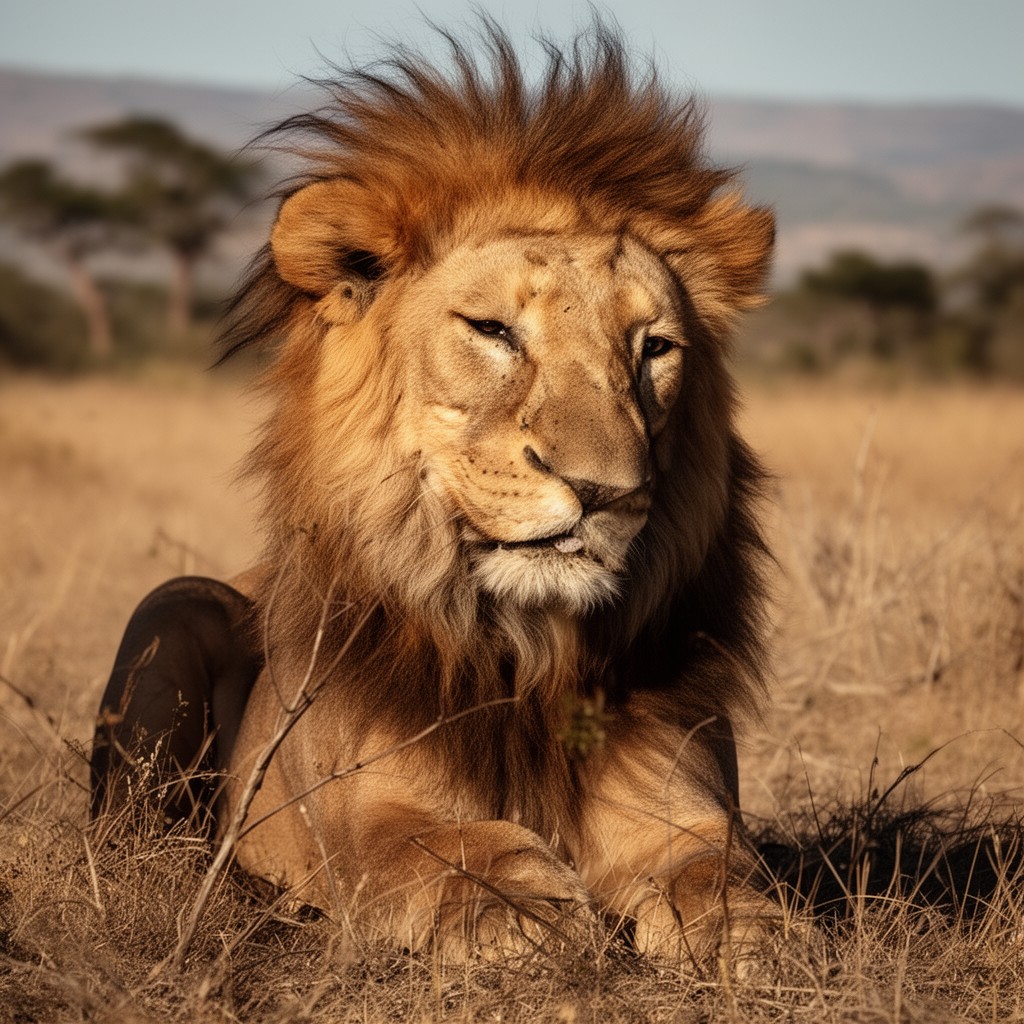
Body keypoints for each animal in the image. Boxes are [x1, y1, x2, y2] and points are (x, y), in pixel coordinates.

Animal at [91, 24, 777, 966]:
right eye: (493, 331)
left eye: (654, 349)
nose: (601, 490)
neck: (527, 652)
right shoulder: (362, 816)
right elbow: (434, 848)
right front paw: (526, 906)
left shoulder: (685, 804)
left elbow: (726, 870)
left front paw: (749, 934)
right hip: (172, 605)